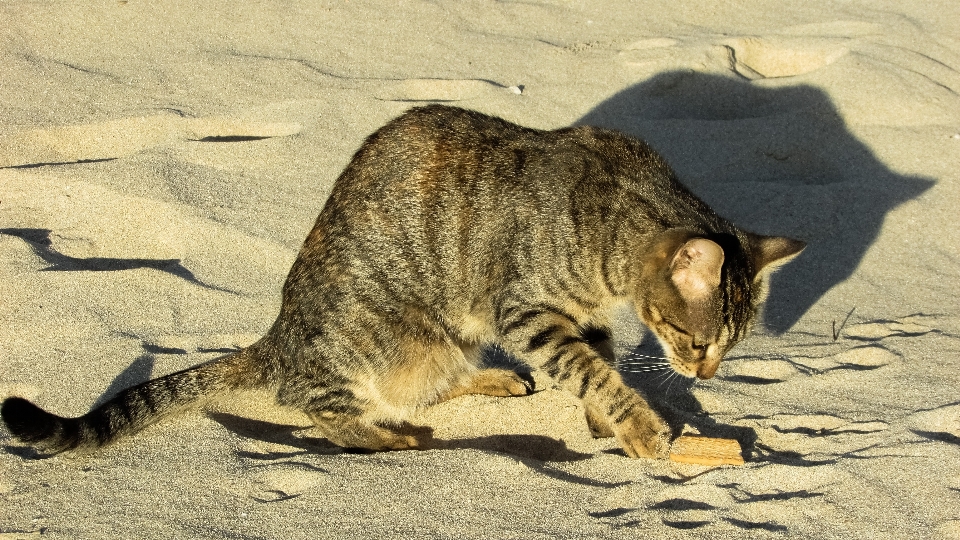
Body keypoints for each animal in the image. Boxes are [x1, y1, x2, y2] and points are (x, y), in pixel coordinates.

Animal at [0, 105, 804, 460]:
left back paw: (489, 383)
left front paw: (608, 421)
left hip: (443, 342)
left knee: (426, 384)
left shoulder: (579, 317)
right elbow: (592, 371)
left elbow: (594, 366)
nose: (706, 372)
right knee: (317, 404)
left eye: (729, 346)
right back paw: (387, 436)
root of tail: (279, 336)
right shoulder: (526, 311)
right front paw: (637, 425)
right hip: (381, 337)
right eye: (692, 339)